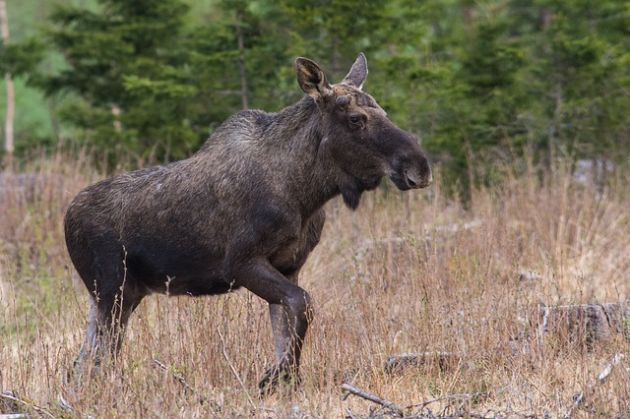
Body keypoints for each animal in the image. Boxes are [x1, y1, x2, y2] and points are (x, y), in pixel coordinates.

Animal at [66, 53, 434, 394]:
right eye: (357, 119)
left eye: (384, 112)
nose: (420, 166)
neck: (306, 192)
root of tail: (67, 218)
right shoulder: (240, 262)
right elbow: (303, 304)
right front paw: (274, 377)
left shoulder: (290, 266)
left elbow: (287, 324)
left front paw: (286, 381)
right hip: (113, 290)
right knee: (102, 359)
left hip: (117, 295)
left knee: (83, 361)